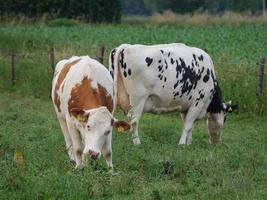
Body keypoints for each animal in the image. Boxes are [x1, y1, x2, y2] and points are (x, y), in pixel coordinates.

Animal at [109, 43, 239, 145]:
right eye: (225, 118)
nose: (218, 142)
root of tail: (127, 46)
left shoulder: (185, 106)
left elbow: (189, 125)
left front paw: (188, 143)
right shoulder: (198, 102)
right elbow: (188, 125)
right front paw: (181, 144)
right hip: (138, 98)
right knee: (134, 120)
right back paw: (137, 143)